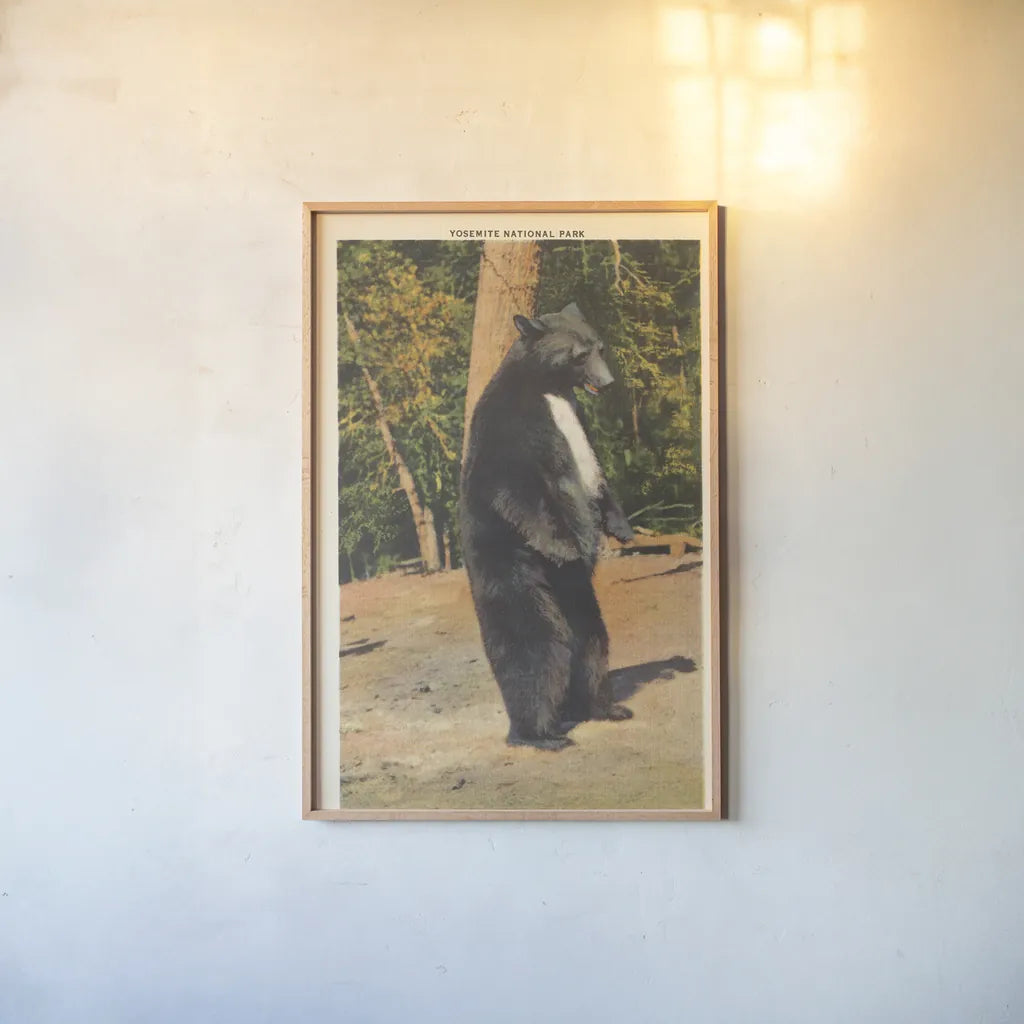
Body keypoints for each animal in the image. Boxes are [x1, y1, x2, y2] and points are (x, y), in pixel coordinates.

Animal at [459, 301, 635, 750]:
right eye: (579, 354)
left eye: (600, 347)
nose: (607, 383)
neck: (550, 389)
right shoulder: (513, 424)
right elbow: (515, 485)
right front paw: (567, 545)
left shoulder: (577, 422)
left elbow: (598, 475)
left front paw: (622, 527)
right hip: (516, 573)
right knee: (536, 646)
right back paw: (540, 733)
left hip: (579, 597)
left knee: (591, 641)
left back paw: (602, 708)